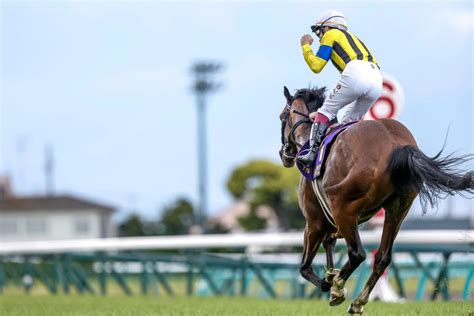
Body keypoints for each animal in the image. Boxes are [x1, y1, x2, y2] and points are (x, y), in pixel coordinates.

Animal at [280, 86, 472, 314]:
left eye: (282, 117)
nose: (284, 154)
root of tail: (396, 145)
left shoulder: (314, 222)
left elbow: (305, 267)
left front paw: (328, 282)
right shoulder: (332, 221)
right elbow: (330, 242)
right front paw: (329, 273)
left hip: (344, 209)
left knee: (358, 254)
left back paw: (338, 288)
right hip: (397, 210)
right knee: (382, 257)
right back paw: (357, 302)